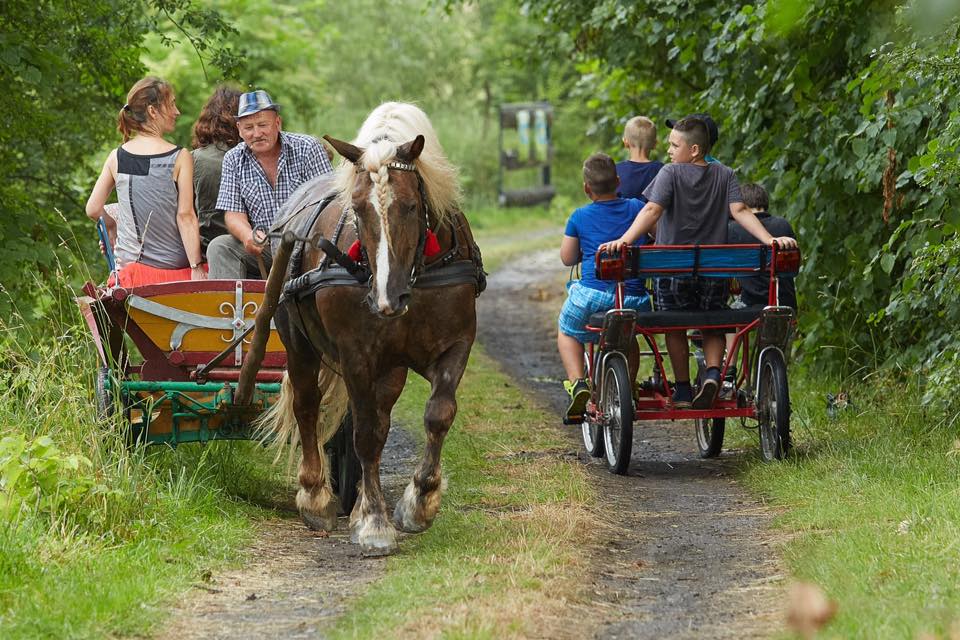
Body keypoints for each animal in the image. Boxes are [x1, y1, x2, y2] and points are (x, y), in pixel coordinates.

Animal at [260, 101, 480, 556]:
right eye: (358, 208)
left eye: (411, 205)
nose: (386, 297)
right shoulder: (355, 354)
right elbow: (364, 434)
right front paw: (375, 522)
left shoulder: (456, 344)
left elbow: (438, 414)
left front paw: (419, 503)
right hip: (298, 341)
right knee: (308, 407)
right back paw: (316, 497)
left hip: (390, 368)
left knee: (380, 418)